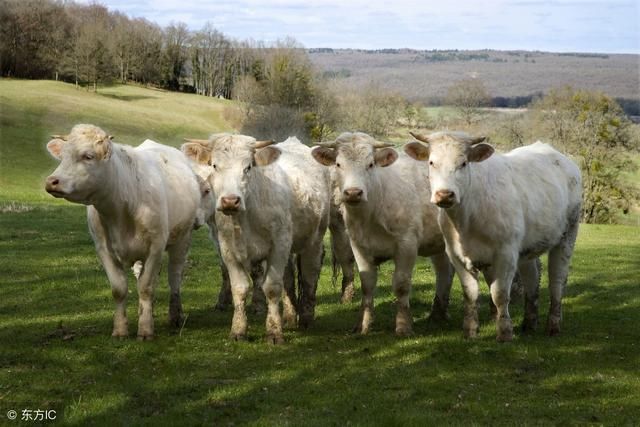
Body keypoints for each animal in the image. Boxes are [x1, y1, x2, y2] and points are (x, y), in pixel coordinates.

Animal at [46, 124, 201, 342]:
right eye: (63, 156)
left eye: (88, 156)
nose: (52, 181)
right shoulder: (103, 249)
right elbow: (119, 289)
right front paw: (121, 329)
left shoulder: (156, 247)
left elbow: (145, 287)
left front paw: (145, 330)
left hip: (182, 239)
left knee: (174, 277)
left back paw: (175, 315)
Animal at [181, 135, 328, 342]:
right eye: (215, 165)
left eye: (248, 167)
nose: (230, 201)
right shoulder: (228, 249)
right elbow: (240, 287)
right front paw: (238, 330)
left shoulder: (279, 246)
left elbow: (272, 287)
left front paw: (274, 332)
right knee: (289, 279)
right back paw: (290, 317)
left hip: (314, 238)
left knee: (310, 274)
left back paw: (306, 318)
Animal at [312, 132, 456, 336]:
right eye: (338, 164)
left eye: (371, 164)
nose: (353, 193)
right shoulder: (358, 246)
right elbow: (367, 284)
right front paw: (363, 325)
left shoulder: (407, 244)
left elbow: (401, 285)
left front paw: (403, 326)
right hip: (439, 243)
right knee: (444, 270)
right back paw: (438, 313)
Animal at [408, 132, 584, 342]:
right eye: (431, 162)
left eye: (464, 163)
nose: (444, 195)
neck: (466, 220)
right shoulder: (455, 254)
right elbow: (470, 293)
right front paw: (470, 331)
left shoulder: (505, 254)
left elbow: (499, 294)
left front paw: (505, 333)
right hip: (527, 247)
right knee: (532, 278)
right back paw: (529, 323)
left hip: (568, 233)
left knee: (557, 280)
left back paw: (553, 326)